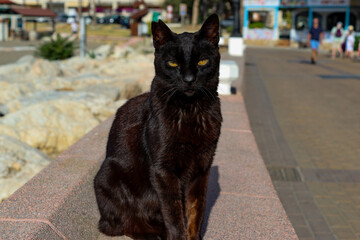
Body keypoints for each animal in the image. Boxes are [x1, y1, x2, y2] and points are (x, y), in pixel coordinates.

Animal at [94, 14, 221, 240]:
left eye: (202, 61)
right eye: (172, 63)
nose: (189, 80)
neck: (190, 111)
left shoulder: (202, 166)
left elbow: (196, 212)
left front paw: (193, 236)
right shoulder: (163, 170)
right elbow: (174, 214)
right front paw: (178, 236)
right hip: (108, 175)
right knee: (125, 224)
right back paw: (151, 234)